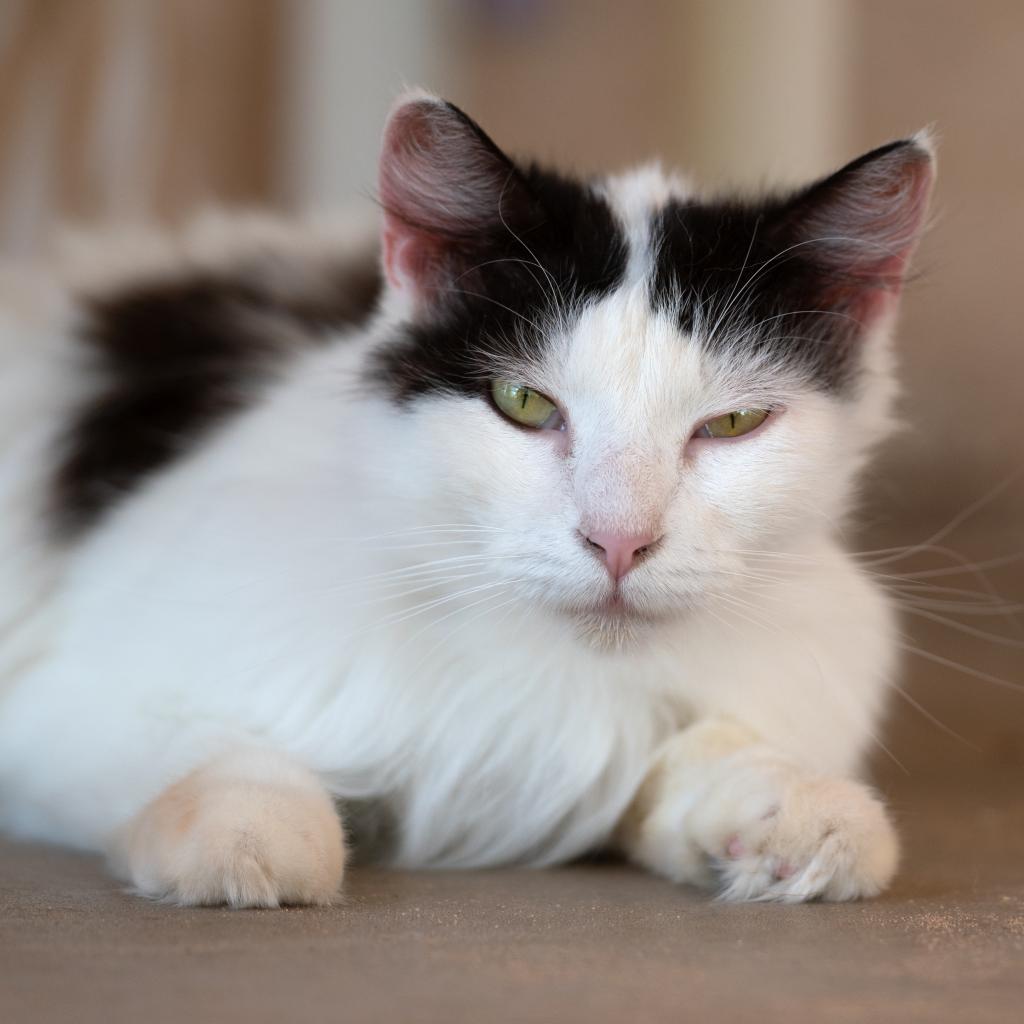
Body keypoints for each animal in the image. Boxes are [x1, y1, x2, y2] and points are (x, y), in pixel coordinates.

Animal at [0, 88, 937, 905]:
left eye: (733, 423)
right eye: (522, 403)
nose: (619, 541)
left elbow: (708, 750)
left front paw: (796, 810)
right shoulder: (59, 701)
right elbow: (211, 748)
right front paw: (251, 832)